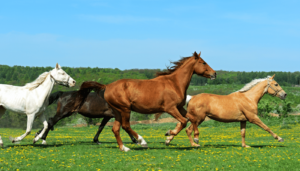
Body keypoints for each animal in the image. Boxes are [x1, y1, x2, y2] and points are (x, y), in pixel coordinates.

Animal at [79, 51, 216, 151]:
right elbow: (183, 121)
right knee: (126, 126)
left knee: (116, 129)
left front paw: (196, 139)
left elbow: (192, 118)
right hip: (125, 109)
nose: (214, 74)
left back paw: (124, 148)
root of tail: (107, 86)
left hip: (117, 111)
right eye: (203, 62)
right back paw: (142, 142)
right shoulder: (170, 108)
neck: (174, 83)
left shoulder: (180, 107)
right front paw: (168, 134)